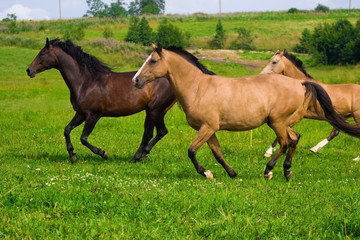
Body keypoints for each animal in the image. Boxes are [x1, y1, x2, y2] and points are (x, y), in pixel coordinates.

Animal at [26, 39, 176, 163]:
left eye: (42, 53)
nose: (29, 70)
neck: (86, 82)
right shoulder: (80, 114)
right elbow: (67, 130)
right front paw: (72, 155)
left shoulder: (93, 115)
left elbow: (83, 138)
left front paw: (103, 153)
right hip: (151, 111)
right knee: (149, 134)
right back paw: (140, 157)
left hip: (155, 110)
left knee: (161, 131)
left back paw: (139, 156)